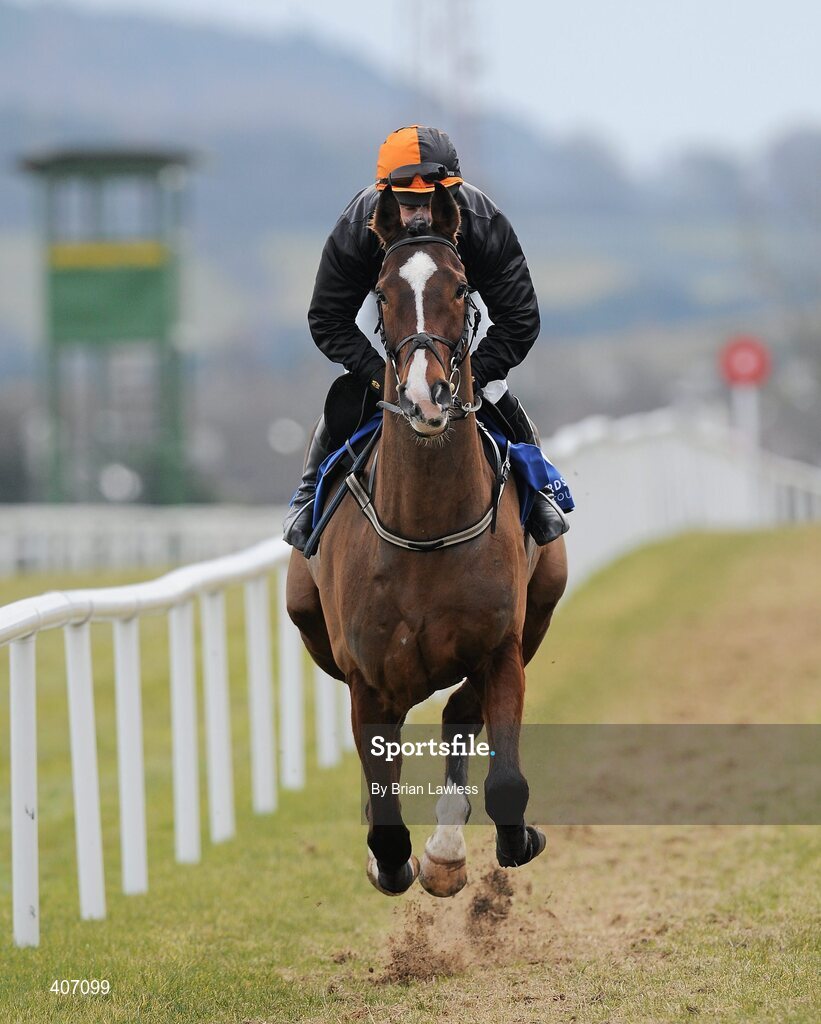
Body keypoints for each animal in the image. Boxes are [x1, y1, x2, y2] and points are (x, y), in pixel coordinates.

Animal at [286, 182, 567, 898]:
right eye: (383, 291)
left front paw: (481, 846)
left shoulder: (501, 646)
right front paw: (390, 861)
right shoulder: (365, 677)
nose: (425, 394)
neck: (426, 531)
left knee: (459, 712)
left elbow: (503, 777)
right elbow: (385, 817)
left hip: (541, 608)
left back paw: (446, 847)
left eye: (462, 286)